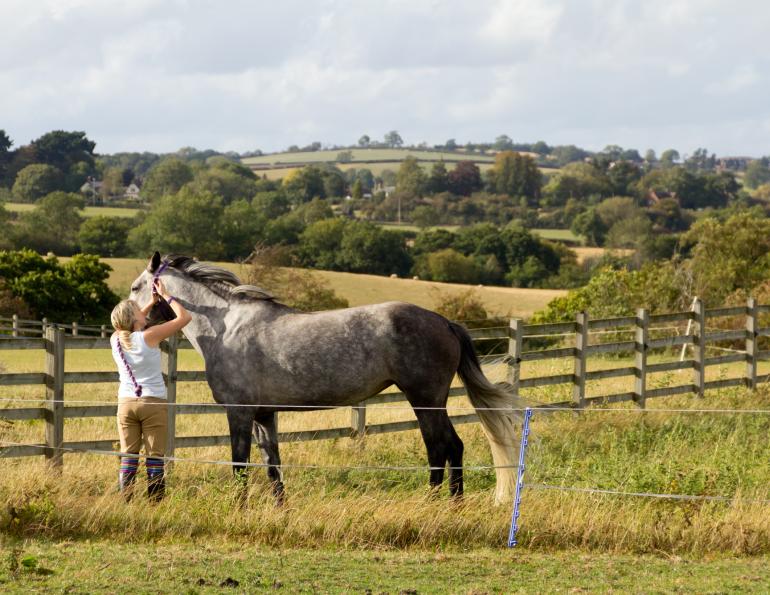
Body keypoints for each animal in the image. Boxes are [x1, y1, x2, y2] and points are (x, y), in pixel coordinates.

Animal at [131, 252, 528, 505]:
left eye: (137, 287)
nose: (126, 318)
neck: (227, 326)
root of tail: (444, 322)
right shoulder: (264, 414)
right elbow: (272, 463)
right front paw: (279, 508)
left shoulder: (239, 413)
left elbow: (239, 464)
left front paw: (238, 507)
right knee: (453, 447)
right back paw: (453, 504)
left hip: (425, 400)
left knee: (440, 448)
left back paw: (434, 503)